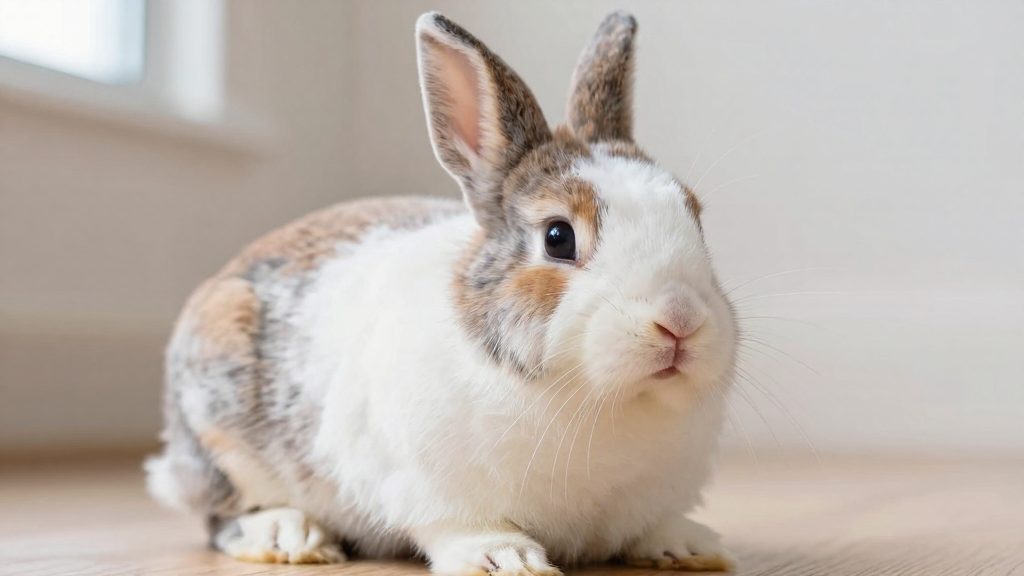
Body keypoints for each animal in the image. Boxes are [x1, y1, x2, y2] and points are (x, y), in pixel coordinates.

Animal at [146, 10, 738, 575]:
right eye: (558, 237)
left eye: (694, 217)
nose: (680, 320)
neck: (602, 402)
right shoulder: (427, 486)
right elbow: (461, 525)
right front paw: (505, 560)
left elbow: (651, 527)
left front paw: (692, 547)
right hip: (221, 436)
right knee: (221, 515)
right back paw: (290, 536)